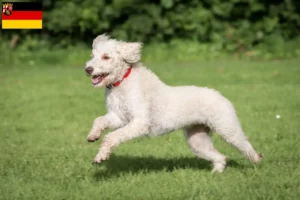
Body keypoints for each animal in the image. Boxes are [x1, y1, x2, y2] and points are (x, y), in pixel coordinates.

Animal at [84, 34, 262, 172]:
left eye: (106, 57)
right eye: (92, 56)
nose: (88, 69)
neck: (122, 81)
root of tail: (220, 95)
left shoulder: (140, 123)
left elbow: (112, 137)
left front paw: (102, 155)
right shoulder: (119, 117)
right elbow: (99, 120)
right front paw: (93, 136)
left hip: (227, 128)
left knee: (245, 146)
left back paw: (257, 162)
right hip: (197, 140)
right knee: (220, 157)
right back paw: (216, 172)